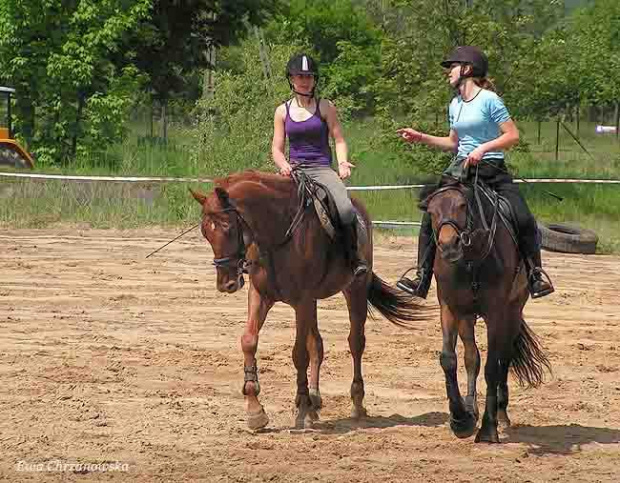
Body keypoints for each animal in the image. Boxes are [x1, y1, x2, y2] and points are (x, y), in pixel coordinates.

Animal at [189, 170, 424, 432]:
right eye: (205, 232)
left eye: (228, 227)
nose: (226, 284)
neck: (276, 234)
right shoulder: (262, 296)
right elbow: (249, 341)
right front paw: (255, 410)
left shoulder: (302, 300)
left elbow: (299, 354)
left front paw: (301, 407)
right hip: (313, 303)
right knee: (317, 345)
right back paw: (315, 400)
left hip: (354, 290)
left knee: (356, 343)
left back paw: (356, 404)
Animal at [424, 180, 548, 444]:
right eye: (431, 211)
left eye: (462, 205)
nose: (449, 246)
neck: (472, 260)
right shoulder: (451, 308)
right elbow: (450, 359)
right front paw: (461, 419)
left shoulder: (496, 313)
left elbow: (493, 366)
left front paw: (488, 428)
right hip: (468, 317)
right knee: (472, 357)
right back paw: (472, 408)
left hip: (512, 312)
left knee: (504, 358)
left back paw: (500, 413)